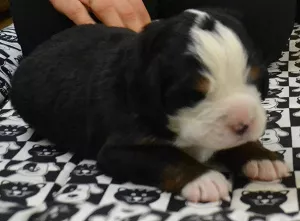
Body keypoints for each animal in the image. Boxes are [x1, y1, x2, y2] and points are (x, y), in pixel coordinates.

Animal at [10, 8, 290, 202]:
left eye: (255, 79)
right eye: (194, 94)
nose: (243, 124)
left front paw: (261, 157)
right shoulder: (118, 148)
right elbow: (166, 157)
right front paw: (205, 179)